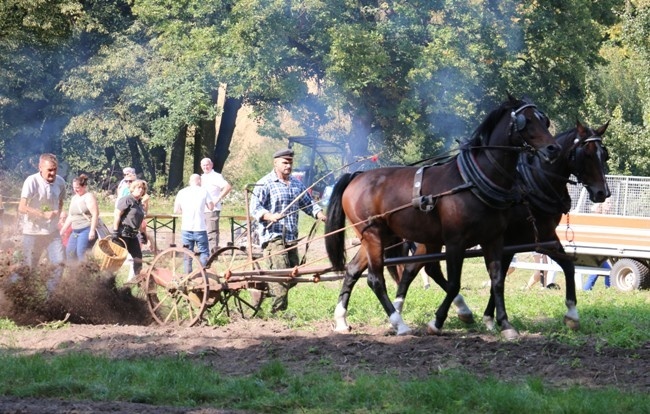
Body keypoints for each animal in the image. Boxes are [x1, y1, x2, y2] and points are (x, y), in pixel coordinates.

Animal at [326, 96, 560, 336]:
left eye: (544, 120)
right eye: (526, 121)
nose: (553, 148)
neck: (472, 182)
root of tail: (357, 176)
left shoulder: (493, 239)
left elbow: (496, 281)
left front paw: (504, 324)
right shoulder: (455, 242)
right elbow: (454, 283)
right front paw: (437, 321)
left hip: (380, 237)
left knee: (353, 270)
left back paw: (342, 320)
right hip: (373, 235)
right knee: (375, 279)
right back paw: (399, 323)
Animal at [392, 119, 612, 336]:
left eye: (604, 154)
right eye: (587, 154)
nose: (603, 193)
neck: (532, 185)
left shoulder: (543, 238)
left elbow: (566, 265)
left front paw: (572, 314)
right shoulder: (507, 241)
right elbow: (499, 277)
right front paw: (492, 318)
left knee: (419, 268)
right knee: (418, 269)